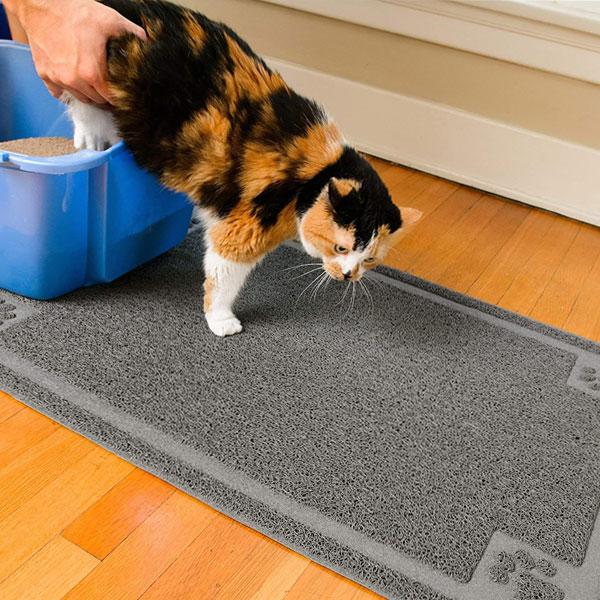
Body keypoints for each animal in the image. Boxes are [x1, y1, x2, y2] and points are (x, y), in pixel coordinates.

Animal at [65, 0, 420, 336]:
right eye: (340, 247)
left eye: (370, 259)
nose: (349, 275)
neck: (316, 174)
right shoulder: (241, 231)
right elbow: (223, 279)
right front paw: (221, 320)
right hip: (92, 76)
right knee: (80, 100)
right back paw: (90, 137)